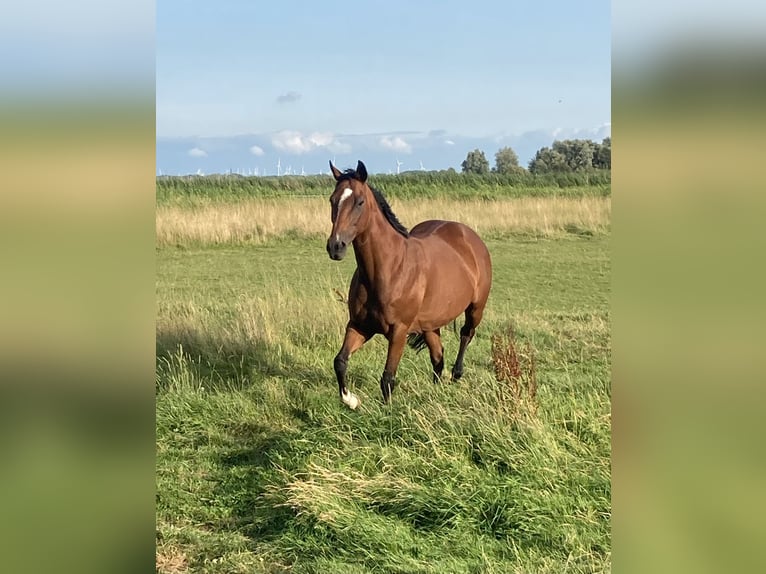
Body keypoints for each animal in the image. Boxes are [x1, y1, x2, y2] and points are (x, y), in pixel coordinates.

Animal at [326, 160, 492, 409]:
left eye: (359, 202)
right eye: (332, 200)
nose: (336, 247)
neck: (389, 268)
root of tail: (469, 235)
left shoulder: (399, 331)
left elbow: (387, 378)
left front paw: (387, 412)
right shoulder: (359, 326)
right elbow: (340, 361)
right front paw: (351, 400)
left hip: (476, 308)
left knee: (465, 335)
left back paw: (457, 374)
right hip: (431, 324)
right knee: (438, 357)